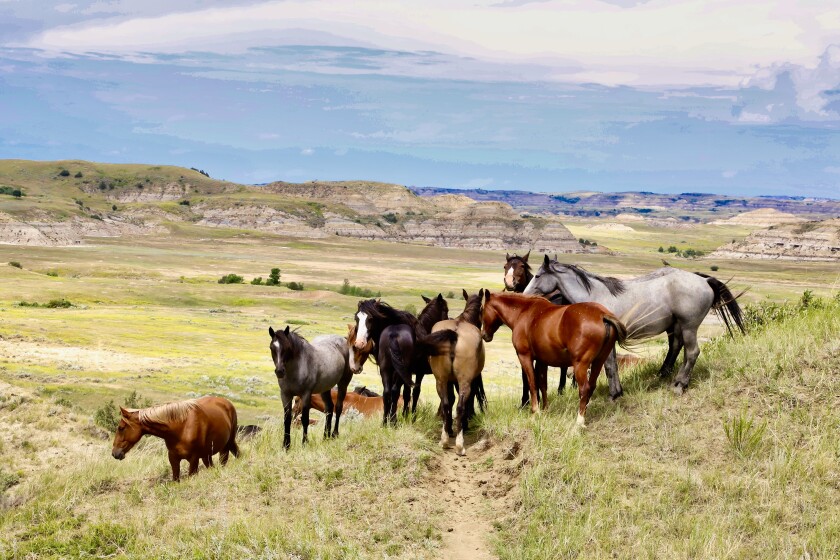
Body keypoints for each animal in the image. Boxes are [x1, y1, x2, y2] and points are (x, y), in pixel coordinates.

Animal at [353, 296, 455, 425]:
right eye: (356, 318)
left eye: (370, 318)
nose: (359, 343)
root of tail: (393, 334)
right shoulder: (417, 373)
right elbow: (413, 392)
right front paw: (410, 416)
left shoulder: (410, 373)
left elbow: (408, 393)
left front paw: (405, 415)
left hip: (389, 369)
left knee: (389, 392)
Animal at [429, 289, 488, 455]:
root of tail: (454, 333)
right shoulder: (471, 380)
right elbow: (468, 402)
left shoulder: (449, 381)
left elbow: (449, 401)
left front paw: (449, 429)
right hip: (464, 381)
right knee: (460, 406)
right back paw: (460, 445)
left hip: (440, 381)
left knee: (445, 404)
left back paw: (444, 441)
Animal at [481, 291, 627, 426]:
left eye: (482, 309)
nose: (484, 335)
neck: (523, 313)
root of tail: (602, 315)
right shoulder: (542, 361)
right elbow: (542, 384)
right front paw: (545, 410)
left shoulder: (525, 357)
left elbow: (532, 383)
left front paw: (535, 412)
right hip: (598, 362)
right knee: (591, 387)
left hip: (580, 364)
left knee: (584, 389)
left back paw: (579, 421)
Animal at [524, 256, 745, 394]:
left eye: (538, 276)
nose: (524, 295)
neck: (595, 296)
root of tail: (704, 281)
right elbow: (611, 365)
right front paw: (617, 392)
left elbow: (609, 366)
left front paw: (614, 394)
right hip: (677, 326)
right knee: (676, 347)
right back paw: (666, 377)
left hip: (689, 326)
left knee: (692, 352)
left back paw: (679, 385)